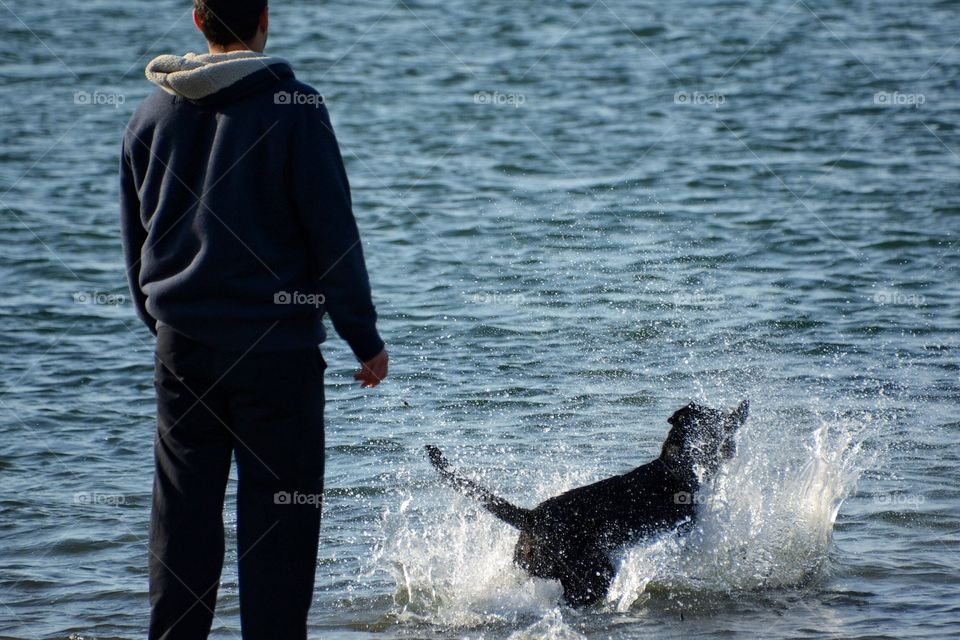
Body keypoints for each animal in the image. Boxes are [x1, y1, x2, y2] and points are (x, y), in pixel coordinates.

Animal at [428, 400, 752, 604]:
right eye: (710, 415)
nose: (731, 413)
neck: (674, 463)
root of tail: (530, 516)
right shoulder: (684, 527)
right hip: (591, 570)